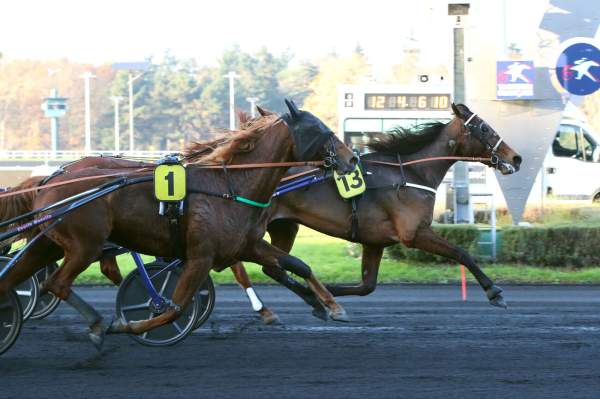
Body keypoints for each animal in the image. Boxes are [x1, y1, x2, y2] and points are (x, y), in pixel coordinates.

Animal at [0, 101, 356, 350]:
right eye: (323, 130)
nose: (351, 158)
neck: (230, 184)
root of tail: (48, 182)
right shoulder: (201, 257)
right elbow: (173, 307)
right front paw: (128, 325)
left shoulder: (247, 245)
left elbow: (298, 264)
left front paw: (330, 306)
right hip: (84, 245)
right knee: (56, 283)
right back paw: (99, 324)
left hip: (49, 244)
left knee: (19, 280)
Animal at [227, 103, 524, 318]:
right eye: (484, 128)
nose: (516, 157)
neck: (411, 173)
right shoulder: (413, 233)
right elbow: (462, 252)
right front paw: (494, 292)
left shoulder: (374, 241)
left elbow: (367, 286)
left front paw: (327, 291)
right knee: (251, 264)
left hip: (285, 225)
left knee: (271, 268)